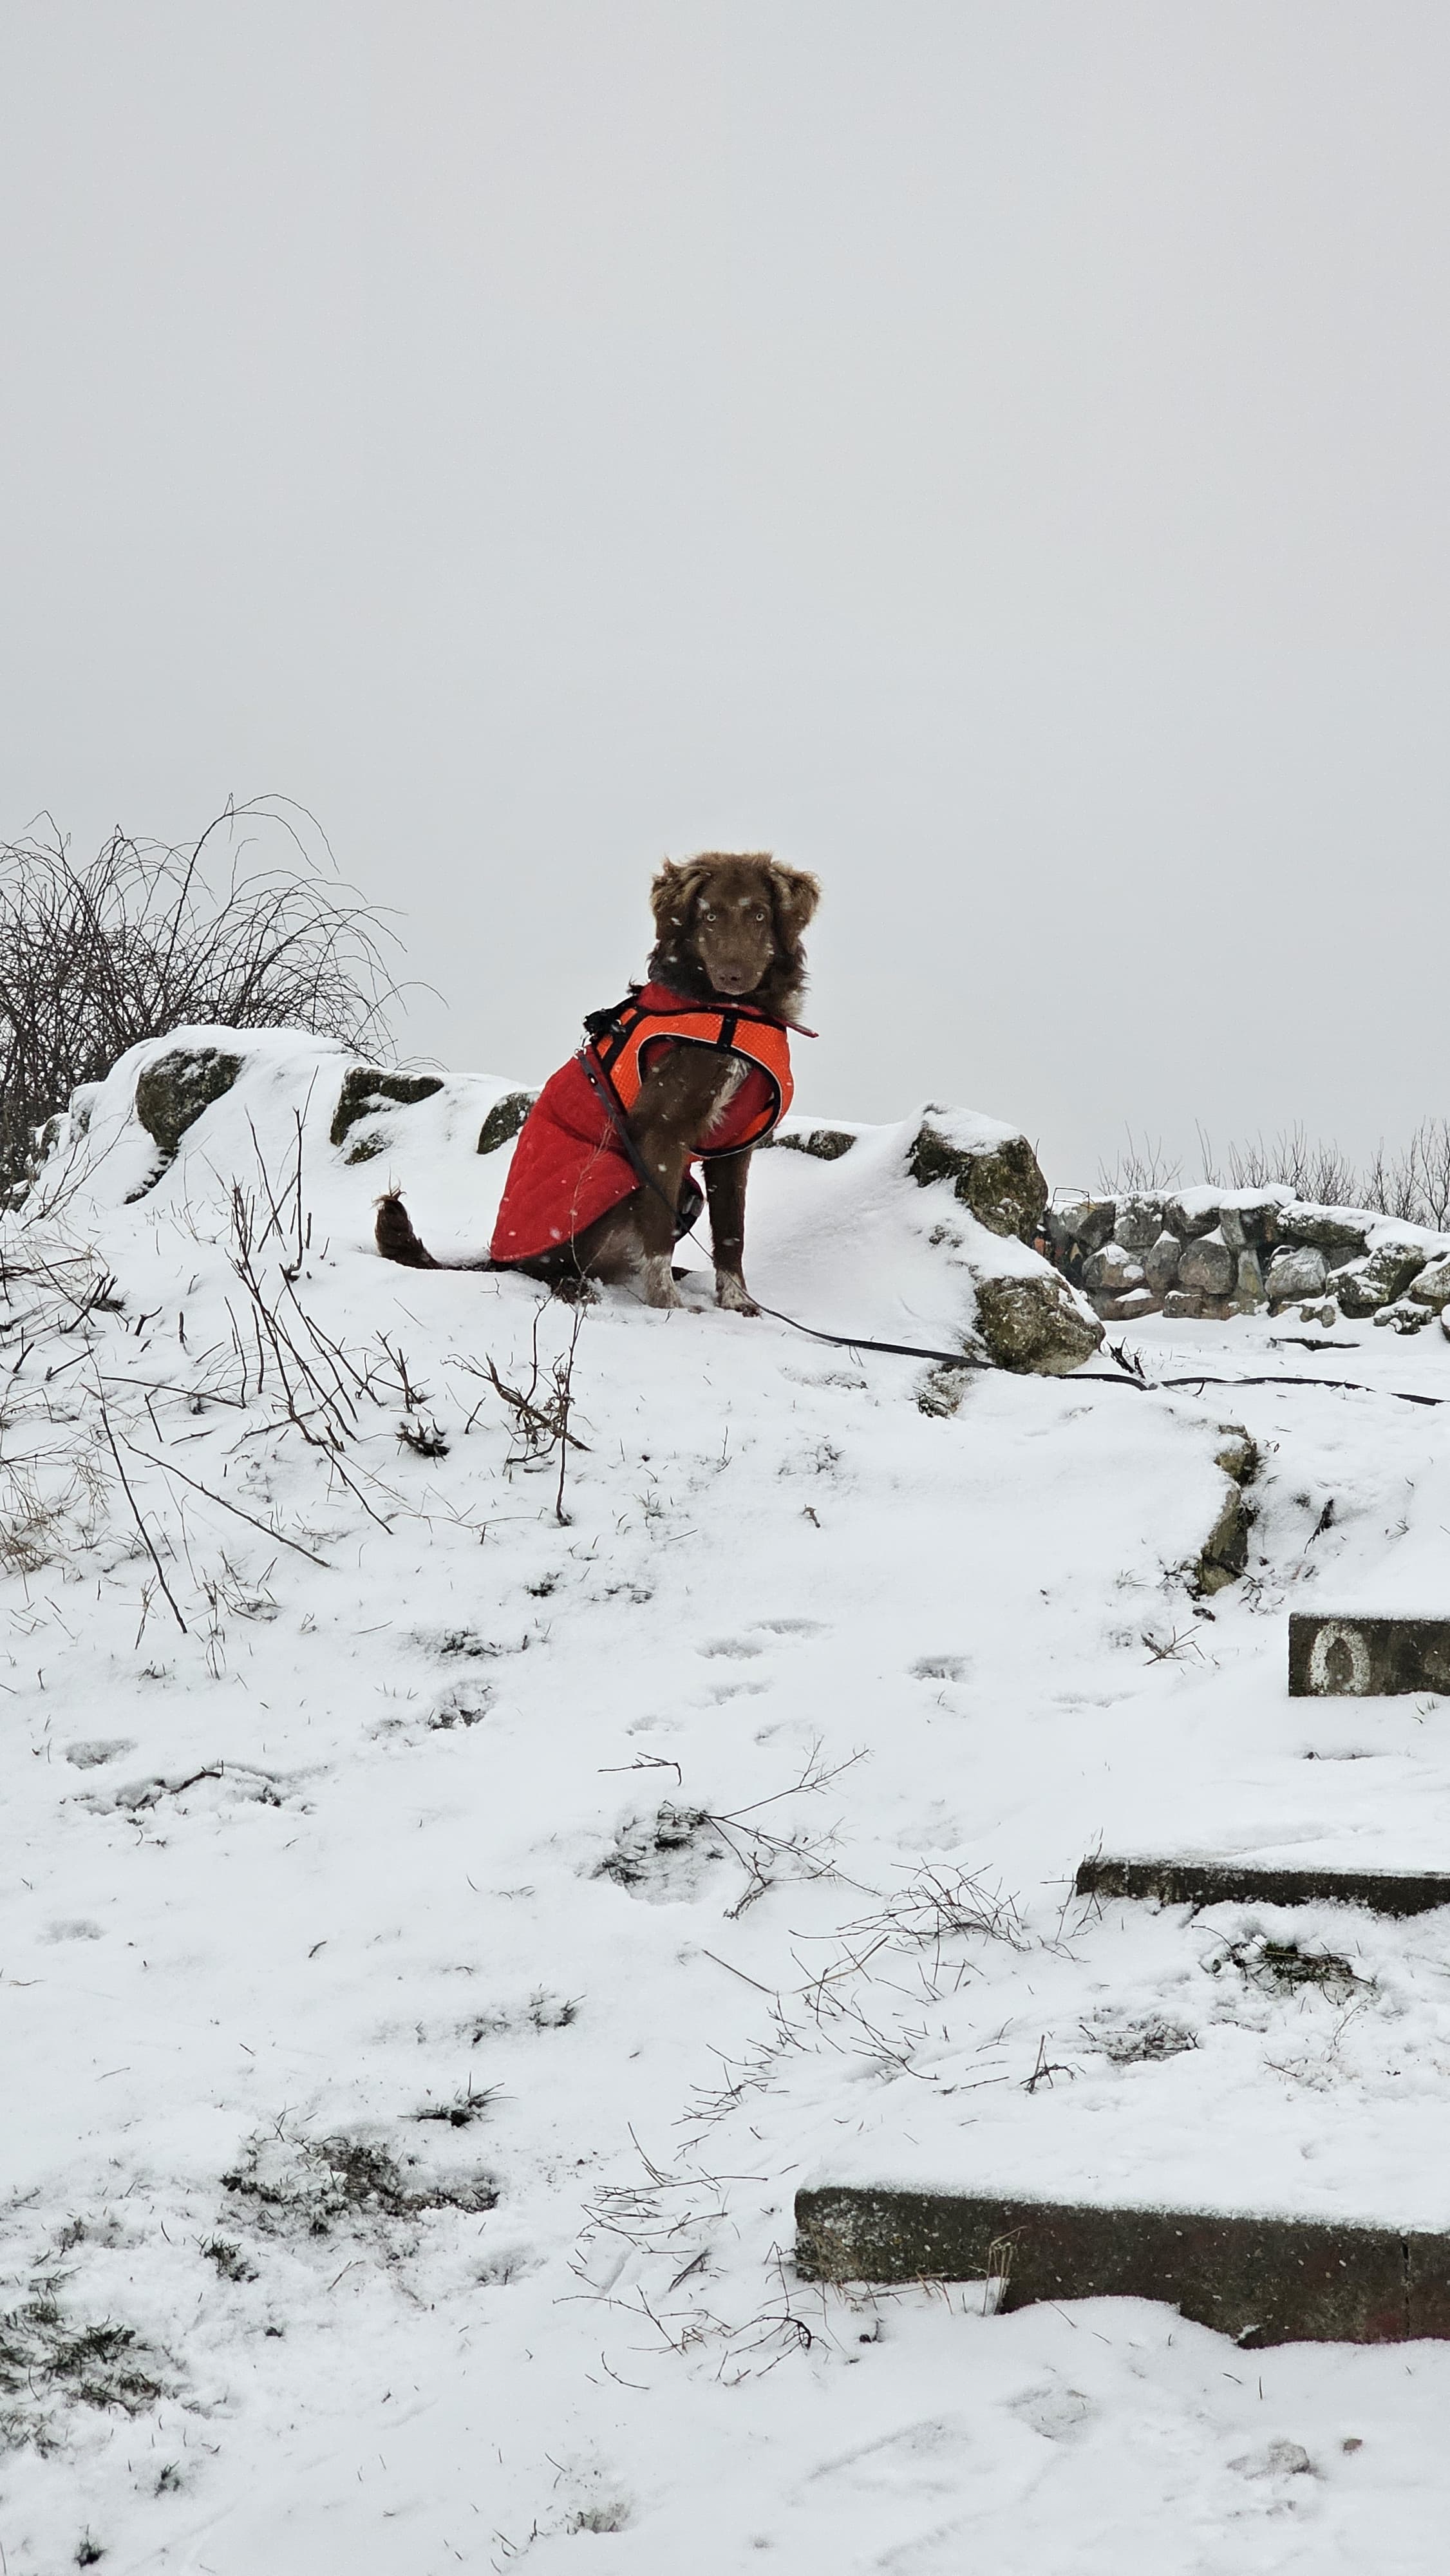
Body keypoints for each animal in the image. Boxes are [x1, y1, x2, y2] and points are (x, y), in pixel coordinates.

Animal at [375, 852, 820, 1310]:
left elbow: (733, 1232)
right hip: (610, 1177)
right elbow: (658, 1235)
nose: (733, 976)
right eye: (709, 916)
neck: (731, 1013)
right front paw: (668, 1307)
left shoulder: (733, 1147)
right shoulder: (661, 1133)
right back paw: (581, 1289)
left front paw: (736, 1301)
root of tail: (497, 1260)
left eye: (760, 915)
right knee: (552, 1269)